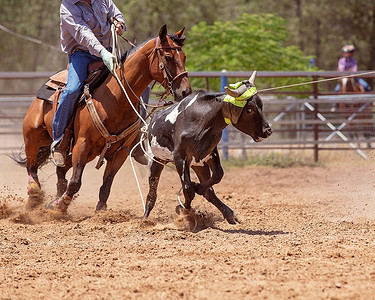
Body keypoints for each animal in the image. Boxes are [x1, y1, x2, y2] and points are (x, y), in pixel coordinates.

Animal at [13, 25, 192, 212]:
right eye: (168, 57)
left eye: (184, 57)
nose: (185, 91)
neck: (116, 98)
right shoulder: (82, 144)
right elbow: (75, 182)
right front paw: (59, 206)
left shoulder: (120, 152)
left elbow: (106, 184)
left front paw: (100, 213)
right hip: (33, 136)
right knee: (32, 165)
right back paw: (34, 194)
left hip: (89, 153)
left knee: (60, 170)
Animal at [143, 72, 270, 223]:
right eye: (249, 109)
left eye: (261, 105)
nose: (268, 130)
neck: (201, 120)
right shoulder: (180, 158)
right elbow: (188, 189)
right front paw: (183, 211)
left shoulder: (209, 154)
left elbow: (217, 175)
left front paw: (197, 188)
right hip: (155, 161)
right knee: (152, 192)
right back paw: (144, 218)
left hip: (198, 165)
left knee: (209, 192)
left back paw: (229, 214)